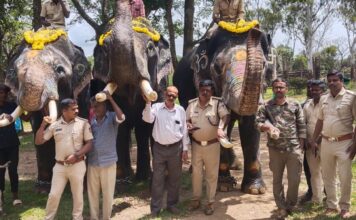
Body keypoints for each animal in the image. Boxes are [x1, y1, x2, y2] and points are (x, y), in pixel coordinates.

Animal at [92, 0, 172, 180]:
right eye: (105, 49)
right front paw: (122, 178)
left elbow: (146, 125)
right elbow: (120, 126)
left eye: (150, 47)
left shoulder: (161, 84)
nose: (128, 2)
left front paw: (145, 178)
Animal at [174, 19, 272, 193]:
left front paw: (255, 189)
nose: (255, 30)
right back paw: (195, 169)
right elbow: (215, 129)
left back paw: (235, 165)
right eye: (217, 68)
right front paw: (224, 186)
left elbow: (251, 126)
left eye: (264, 65)